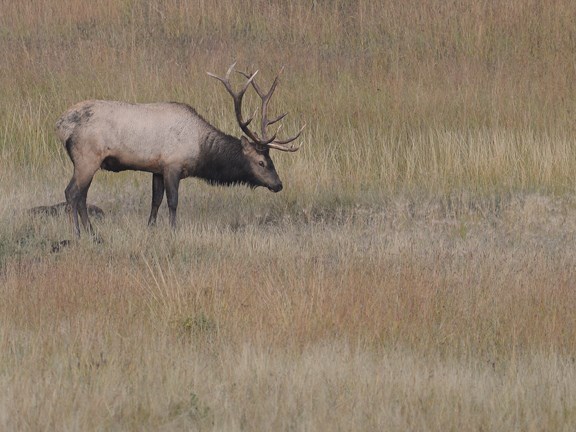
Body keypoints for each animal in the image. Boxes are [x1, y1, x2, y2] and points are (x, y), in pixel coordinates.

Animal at [55, 61, 304, 236]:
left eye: (272, 161)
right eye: (261, 162)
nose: (278, 184)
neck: (200, 150)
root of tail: (62, 124)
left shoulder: (156, 168)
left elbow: (155, 201)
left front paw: (151, 228)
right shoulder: (172, 165)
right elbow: (173, 201)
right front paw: (173, 231)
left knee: (82, 196)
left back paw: (92, 233)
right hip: (87, 157)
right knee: (72, 192)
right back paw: (77, 233)